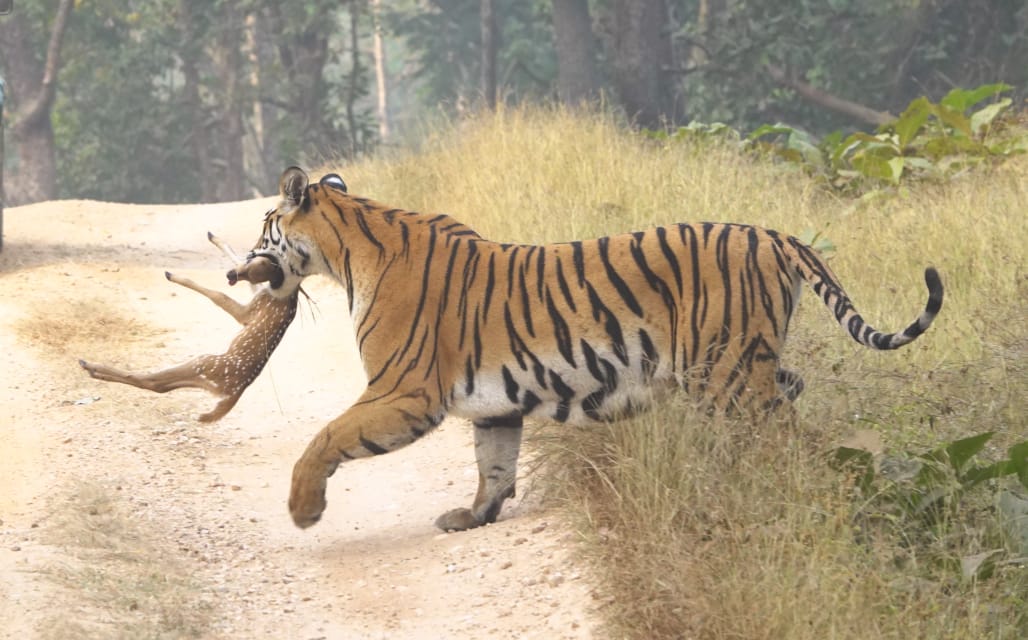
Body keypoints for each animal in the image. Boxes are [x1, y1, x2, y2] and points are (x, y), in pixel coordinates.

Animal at [79, 233, 300, 422]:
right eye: (251, 259)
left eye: (260, 267)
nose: (231, 275)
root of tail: (234, 393)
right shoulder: (256, 296)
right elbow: (234, 260)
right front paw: (212, 236)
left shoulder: (249, 312)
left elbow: (219, 295)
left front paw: (172, 274)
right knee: (161, 385)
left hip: (203, 362)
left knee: (152, 380)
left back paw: (89, 365)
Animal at [229, 166, 943, 532]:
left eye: (264, 226)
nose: (237, 267)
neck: (346, 250)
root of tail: (774, 235)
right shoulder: (493, 404)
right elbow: (494, 464)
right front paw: (474, 516)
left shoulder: (404, 391)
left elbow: (326, 436)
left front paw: (303, 510)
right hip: (745, 364)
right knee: (794, 396)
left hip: (727, 375)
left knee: (789, 437)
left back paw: (787, 496)